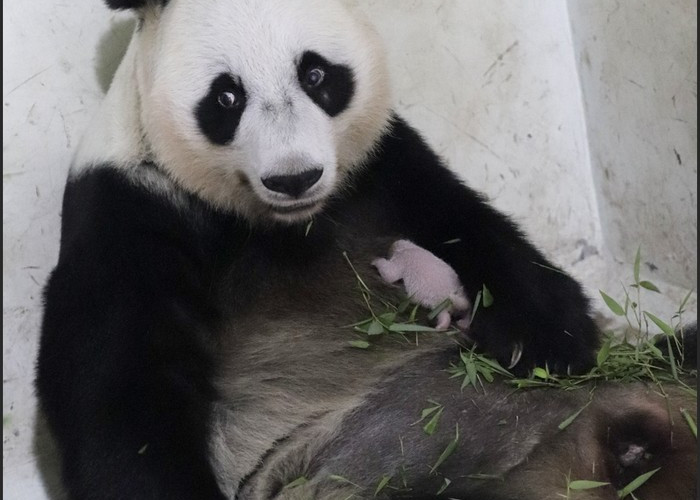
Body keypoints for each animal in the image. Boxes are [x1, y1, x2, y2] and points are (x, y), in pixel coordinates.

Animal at [36, 1, 696, 499]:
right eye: (226, 97)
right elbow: (122, 397)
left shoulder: (381, 163)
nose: (294, 177)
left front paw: (547, 342)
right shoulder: (131, 210)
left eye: (315, 74)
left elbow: (470, 225)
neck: (284, 226)